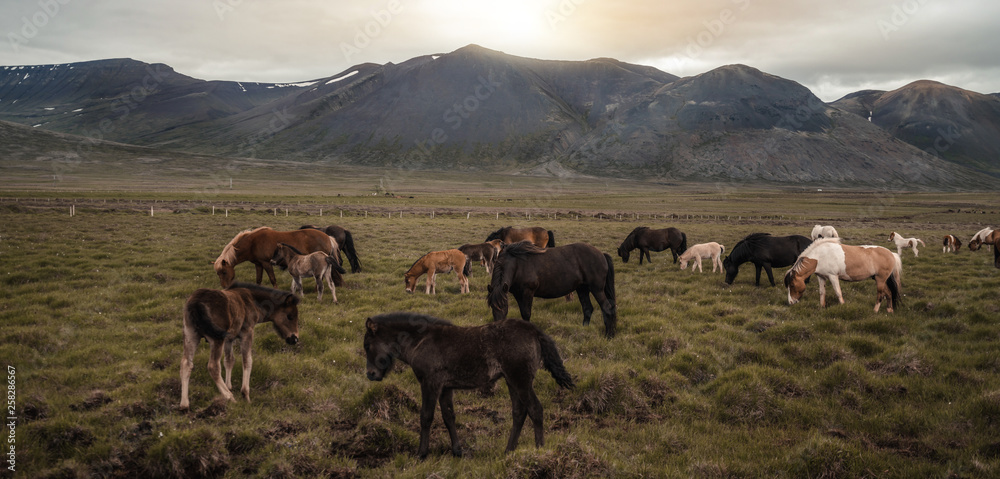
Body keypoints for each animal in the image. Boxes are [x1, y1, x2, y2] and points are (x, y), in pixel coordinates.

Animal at [213, 228, 342, 288]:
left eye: (224, 272)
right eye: (218, 273)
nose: (224, 287)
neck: (252, 243)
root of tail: (328, 237)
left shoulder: (266, 263)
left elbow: (272, 279)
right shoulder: (258, 264)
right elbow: (258, 279)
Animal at [364, 314, 576, 460]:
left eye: (367, 345)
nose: (370, 374)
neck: (420, 340)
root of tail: (534, 331)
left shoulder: (430, 383)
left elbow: (426, 417)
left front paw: (421, 454)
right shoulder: (445, 387)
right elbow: (449, 417)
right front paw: (457, 451)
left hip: (520, 380)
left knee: (535, 409)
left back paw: (539, 450)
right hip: (511, 381)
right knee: (519, 412)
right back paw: (508, 451)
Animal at [490, 242, 620, 340]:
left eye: (504, 306)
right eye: (492, 306)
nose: (497, 329)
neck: (517, 264)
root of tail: (601, 254)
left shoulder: (527, 292)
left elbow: (526, 314)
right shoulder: (518, 294)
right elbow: (523, 313)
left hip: (597, 289)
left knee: (607, 308)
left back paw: (609, 336)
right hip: (582, 289)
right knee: (587, 308)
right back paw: (584, 330)